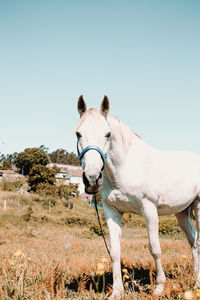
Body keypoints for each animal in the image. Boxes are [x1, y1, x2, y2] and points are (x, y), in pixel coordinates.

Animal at [75, 95, 200, 298]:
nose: (92, 178)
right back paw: (196, 283)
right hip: (181, 212)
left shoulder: (149, 209)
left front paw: (159, 288)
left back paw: (197, 284)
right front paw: (117, 292)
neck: (125, 168)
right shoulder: (111, 211)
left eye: (108, 134)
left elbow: (155, 248)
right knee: (194, 243)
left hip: (198, 205)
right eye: (78, 134)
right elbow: (114, 251)